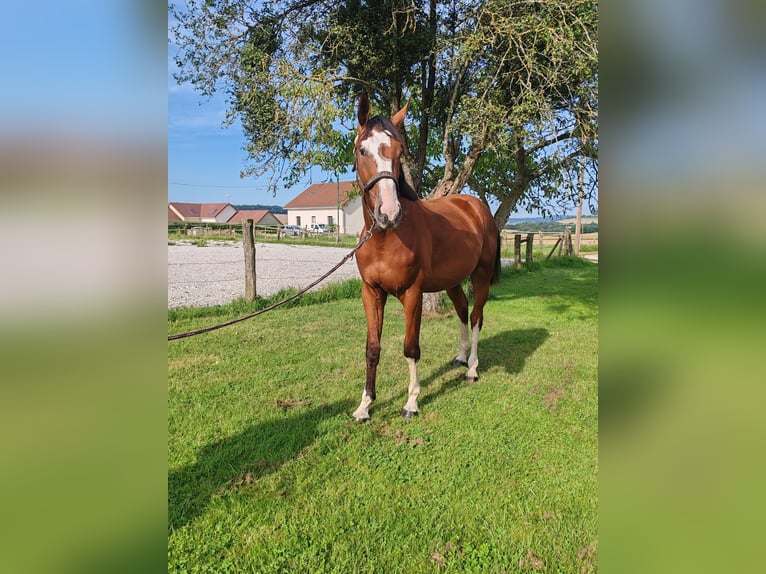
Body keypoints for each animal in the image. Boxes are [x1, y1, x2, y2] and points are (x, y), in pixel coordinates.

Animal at [350, 92, 504, 420]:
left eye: (399, 151)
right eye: (362, 150)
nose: (389, 213)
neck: (384, 239)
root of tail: (477, 207)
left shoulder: (413, 294)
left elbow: (411, 348)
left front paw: (411, 402)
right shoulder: (371, 292)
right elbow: (372, 348)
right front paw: (365, 405)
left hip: (481, 276)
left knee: (476, 317)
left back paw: (472, 369)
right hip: (453, 281)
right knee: (461, 309)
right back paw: (460, 357)